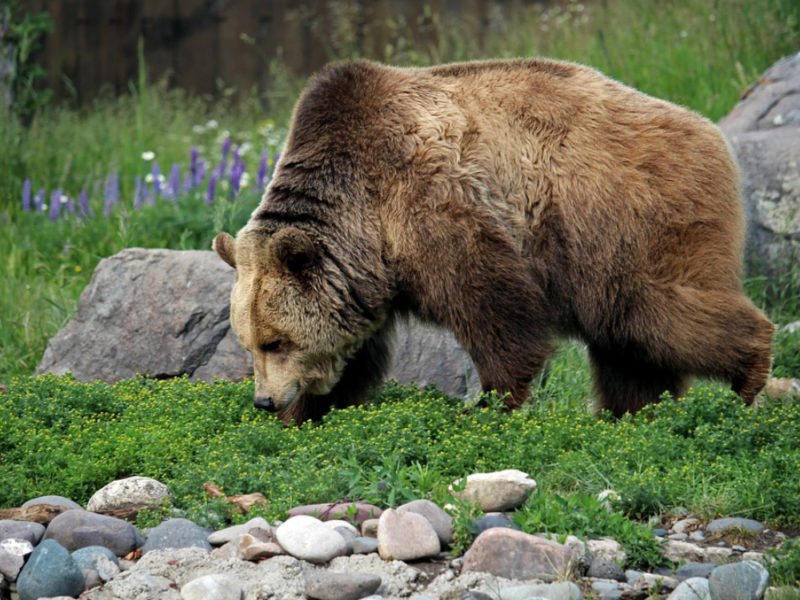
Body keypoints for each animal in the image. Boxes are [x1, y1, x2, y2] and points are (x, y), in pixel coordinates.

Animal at [214, 55, 776, 422]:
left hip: (622, 219)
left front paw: (489, 402)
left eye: (275, 340)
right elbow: (356, 350)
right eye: (250, 342)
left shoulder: (430, 201)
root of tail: (711, 132)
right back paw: (631, 414)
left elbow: (493, 306)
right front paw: (311, 410)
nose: (264, 400)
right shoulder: (364, 274)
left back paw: (748, 379)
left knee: (654, 311)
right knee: (626, 346)